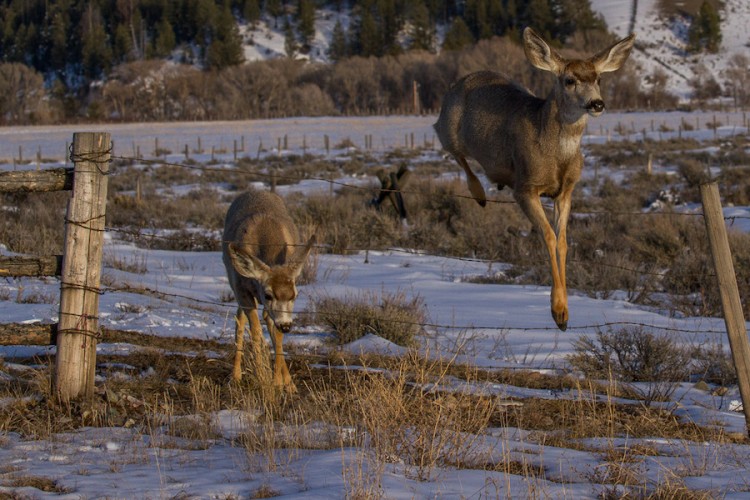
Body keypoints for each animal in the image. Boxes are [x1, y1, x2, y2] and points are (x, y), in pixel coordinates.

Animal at [223, 188, 318, 390]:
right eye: (267, 294)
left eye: (294, 295)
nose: (287, 325)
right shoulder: (241, 290)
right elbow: (256, 331)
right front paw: (262, 377)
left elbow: (276, 335)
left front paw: (283, 383)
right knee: (240, 320)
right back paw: (235, 376)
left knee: (262, 319)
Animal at [434, 27, 636, 332]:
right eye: (569, 80)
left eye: (599, 79)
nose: (597, 103)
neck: (556, 154)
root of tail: (459, 81)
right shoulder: (526, 187)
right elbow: (548, 236)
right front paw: (559, 312)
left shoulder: (566, 191)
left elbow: (563, 241)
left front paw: (565, 313)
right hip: (449, 128)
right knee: (449, 145)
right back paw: (479, 193)